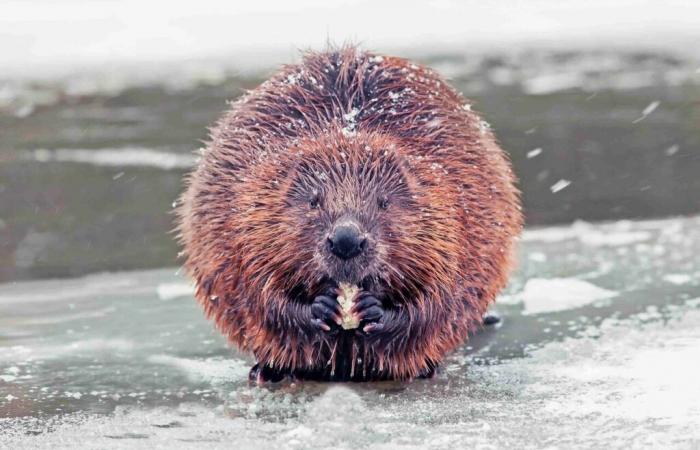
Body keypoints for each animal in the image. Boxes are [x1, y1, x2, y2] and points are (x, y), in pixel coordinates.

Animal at [178, 45, 524, 384]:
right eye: (313, 200)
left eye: (384, 202)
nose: (346, 240)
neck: (348, 138)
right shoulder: (248, 209)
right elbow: (257, 287)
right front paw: (321, 308)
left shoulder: (451, 209)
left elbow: (441, 292)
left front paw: (374, 310)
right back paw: (268, 371)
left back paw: (425, 368)